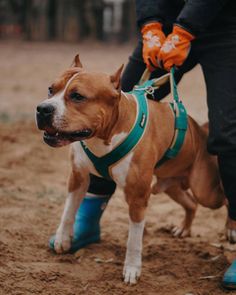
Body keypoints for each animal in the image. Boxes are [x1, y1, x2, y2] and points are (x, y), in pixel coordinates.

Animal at [35, 55, 227, 284]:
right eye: (50, 89)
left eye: (78, 96)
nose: (42, 109)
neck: (103, 137)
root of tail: (200, 130)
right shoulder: (77, 177)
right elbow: (68, 210)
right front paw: (62, 239)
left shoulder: (137, 197)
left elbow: (134, 239)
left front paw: (132, 268)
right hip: (170, 184)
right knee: (191, 203)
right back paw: (184, 229)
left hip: (206, 191)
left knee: (222, 199)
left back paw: (230, 229)